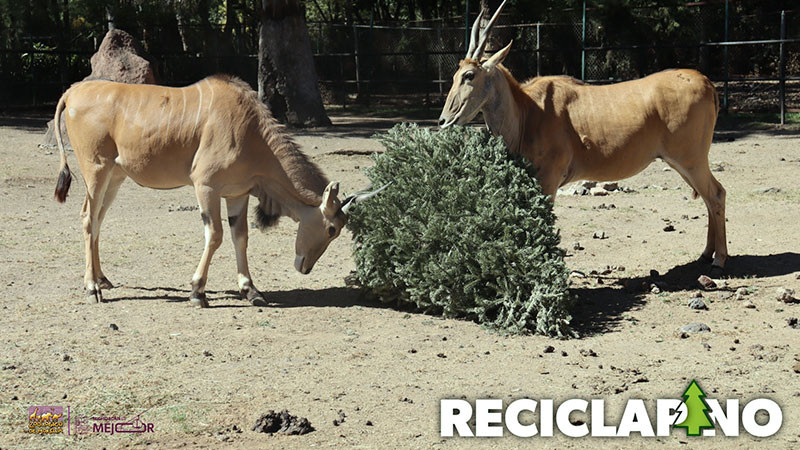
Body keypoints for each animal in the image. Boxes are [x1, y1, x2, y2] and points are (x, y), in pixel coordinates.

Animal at [53, 75, 384, 308]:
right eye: (331, 229)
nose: (305, 268)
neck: (251, 131)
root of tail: (72, 92)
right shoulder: (206, 186)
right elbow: (215, 235)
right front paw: (197, 292)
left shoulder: (237, 193)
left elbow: (241, 237)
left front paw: (251, 290)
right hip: (96, 171)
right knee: (87, 218)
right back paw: (91, 288)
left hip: (115, 178)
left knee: (98, 221)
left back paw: (102, 280)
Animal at [440, 0, 728, 270]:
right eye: (454, 75)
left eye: (469, 75)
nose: (443, 121)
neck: (528, 111)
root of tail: (707, 83)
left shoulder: (549, 179)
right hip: (682, 163)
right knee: (708, 197)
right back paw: (706, 253)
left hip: (691, 160)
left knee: (716, 194)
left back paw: (719, 258)